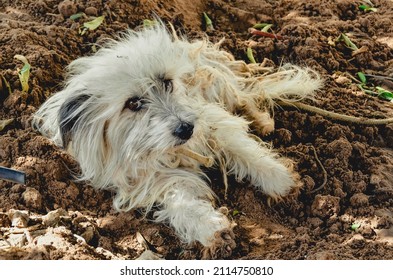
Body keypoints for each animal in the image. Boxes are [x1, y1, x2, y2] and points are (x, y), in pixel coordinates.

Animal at [33, 23, 322, 260]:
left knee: (247, 97)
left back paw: (263, 122)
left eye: (166, 82)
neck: (171, 151)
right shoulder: (149, 179)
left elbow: (245, 150)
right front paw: (210, 229)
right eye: (133, 103)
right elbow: (181, 201)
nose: (186, 129)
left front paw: (281, 180)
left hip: (217, 83)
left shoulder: (210, 121)